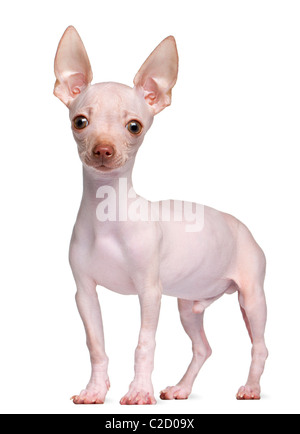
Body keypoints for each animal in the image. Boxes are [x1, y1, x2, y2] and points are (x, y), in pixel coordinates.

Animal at [53, 27, 268, 406]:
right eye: (80, 122)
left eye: (134, 127)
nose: (103, 150)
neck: (107, 215)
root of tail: (245, 228)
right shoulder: (84, 293)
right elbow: (96, 345)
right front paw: (95, 390)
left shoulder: (149, 291)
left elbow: (144, 344)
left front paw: (139, 392)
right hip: (188, 304)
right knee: (203, 348)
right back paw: (182, 388)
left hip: (252, 297)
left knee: (260, 346)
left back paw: (251, 388)